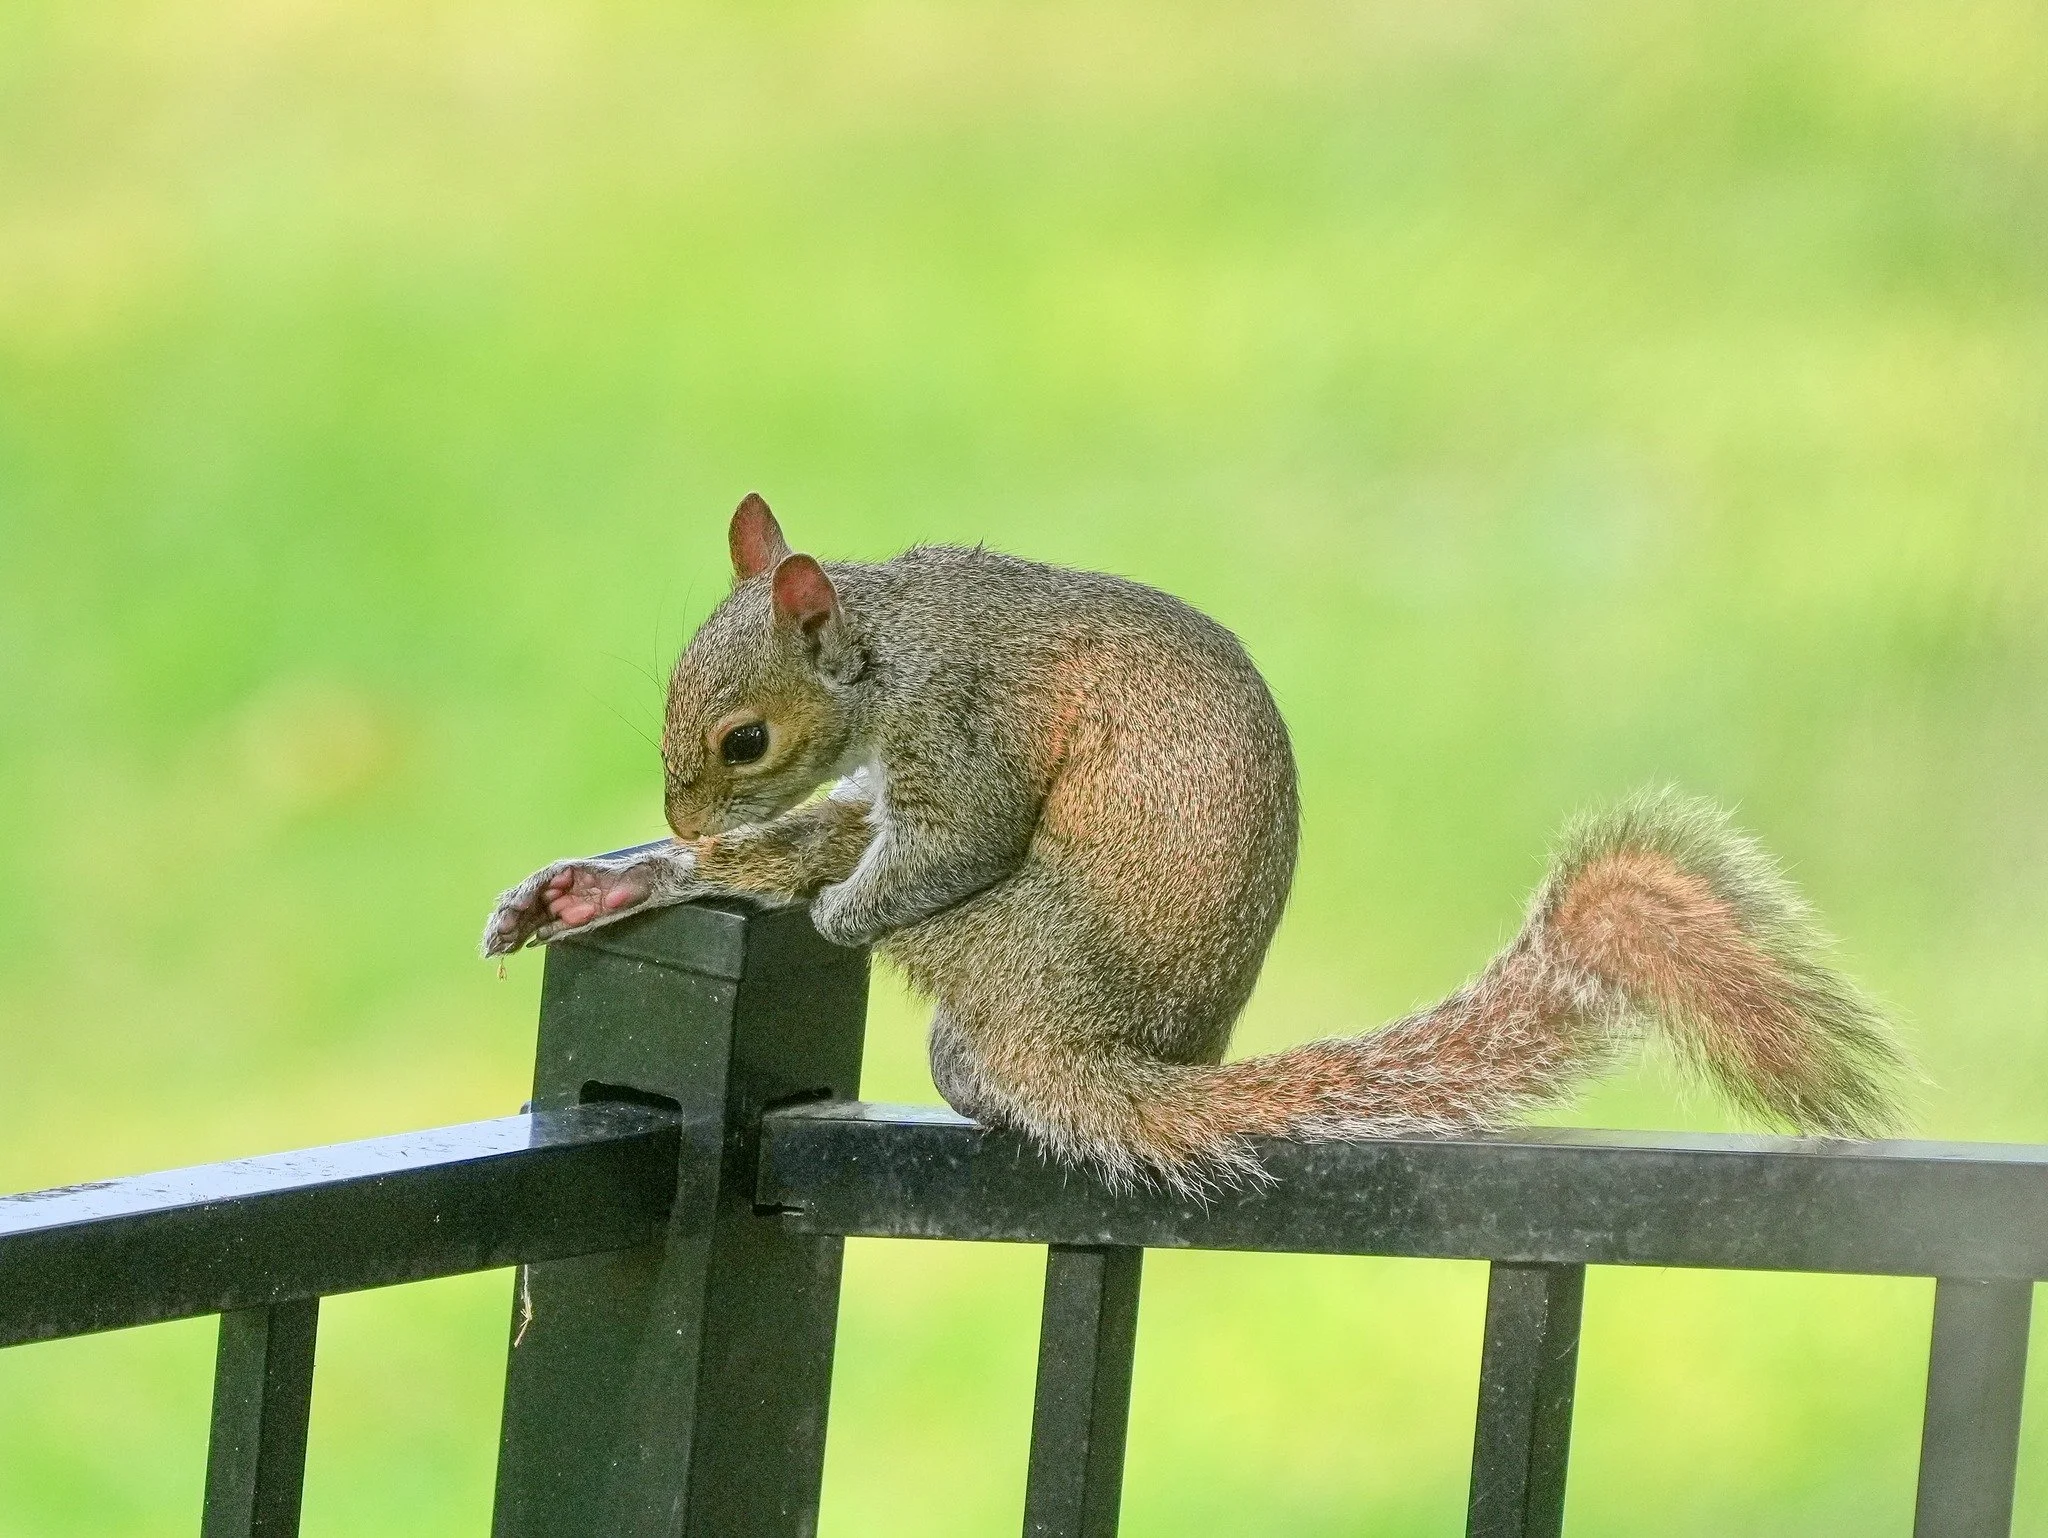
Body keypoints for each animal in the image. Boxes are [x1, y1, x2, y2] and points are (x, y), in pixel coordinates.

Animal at [484, 494, 1909, 1191]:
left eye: (743, 740)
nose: (683, 815)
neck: (896, 644)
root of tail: (1100, 1052)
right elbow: (843, 831)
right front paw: (654, 865)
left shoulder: (967, 725)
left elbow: (948, 841)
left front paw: (823, 914)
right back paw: (619, 886)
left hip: (1004, 933)